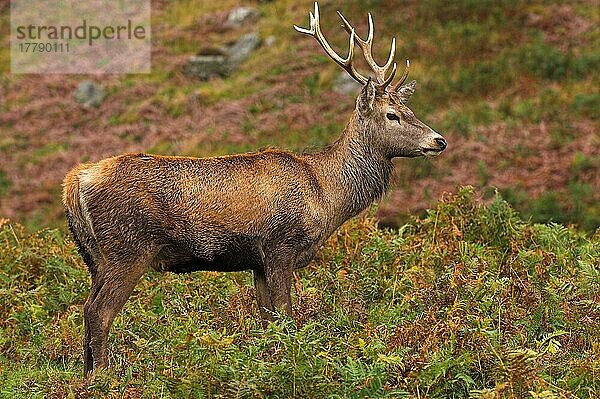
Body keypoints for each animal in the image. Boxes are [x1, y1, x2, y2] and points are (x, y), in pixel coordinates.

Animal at [63, 2, 446, 378]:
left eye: (410, 108)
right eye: (392, 115)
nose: (438, 140)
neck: (326, 193)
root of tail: (76, 181)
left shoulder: (257, 261)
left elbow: (268, 322)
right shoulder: (280, 246)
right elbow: (286, 317)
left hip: (94, 257)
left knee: (85, 308)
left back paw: (84, 378)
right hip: (127, 248)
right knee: (99, 312)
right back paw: (103, 379)